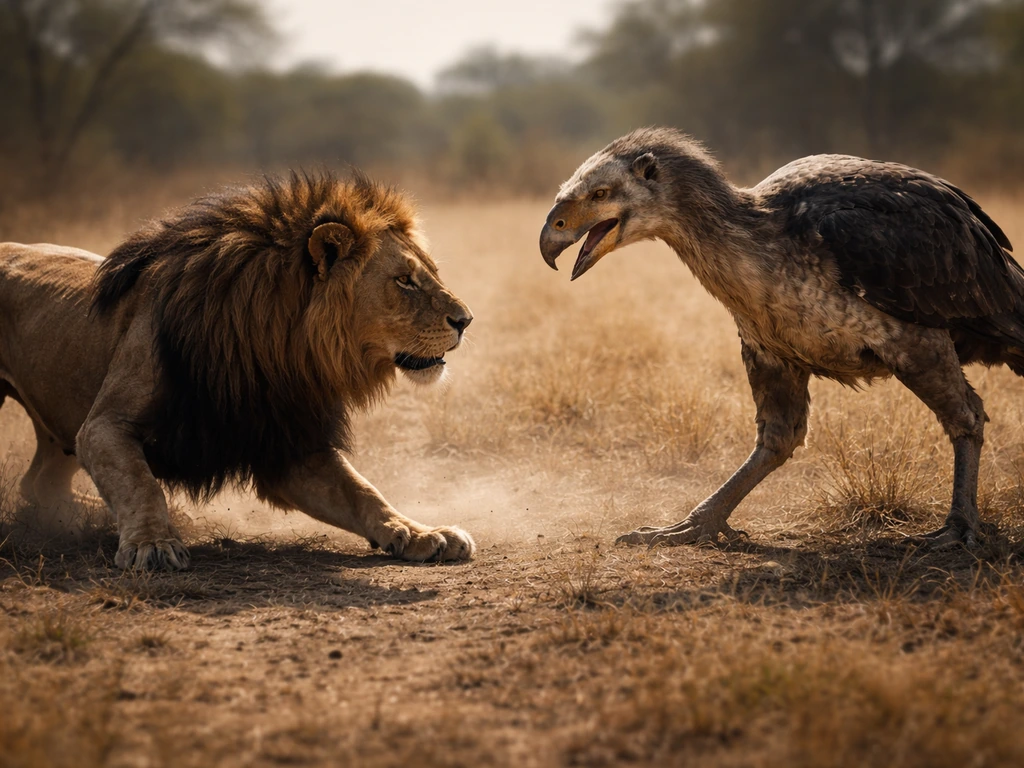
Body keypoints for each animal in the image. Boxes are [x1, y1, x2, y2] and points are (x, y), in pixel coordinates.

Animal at [0, 172, 476, 570]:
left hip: (57, 427)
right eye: (404, 280)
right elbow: (139, 482)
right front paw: (153, 543)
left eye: (431, 273)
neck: (270, 346)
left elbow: (363, 493)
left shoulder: (290, 443)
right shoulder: (103, 426)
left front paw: (420, 533)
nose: (466, 320)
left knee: (38, 487)